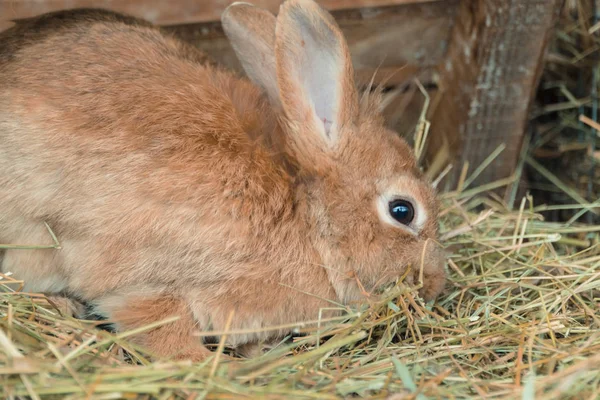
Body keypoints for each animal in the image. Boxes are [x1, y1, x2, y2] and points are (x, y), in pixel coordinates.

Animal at [0, 0, 448, 360]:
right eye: (403, 210)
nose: (435, 284)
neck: (307, 214)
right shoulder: (146, 278)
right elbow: (159, 324)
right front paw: (202, 364)